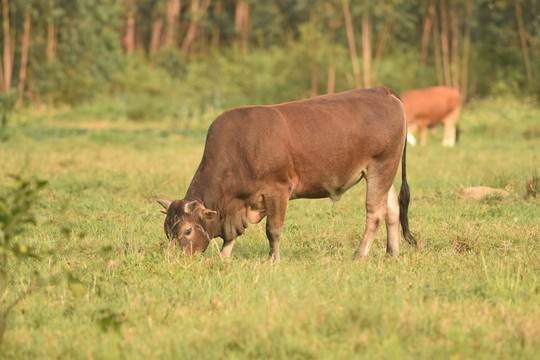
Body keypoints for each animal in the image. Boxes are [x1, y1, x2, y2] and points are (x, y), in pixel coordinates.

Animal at [158, 87, 416, 262]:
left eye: (187, 230)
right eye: (167, 229)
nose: (174, 259)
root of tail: (382, 91)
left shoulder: (277, 190)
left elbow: (273, 230)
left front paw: (273, 259)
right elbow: (231, 236)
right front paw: (224, 257)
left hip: (381, 166)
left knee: (375, 213)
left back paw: (360, 254)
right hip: (383, 171)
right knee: (392, 208)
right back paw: (392, 252)